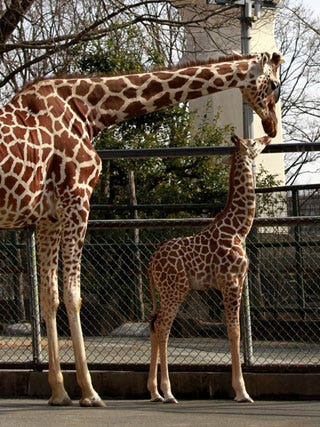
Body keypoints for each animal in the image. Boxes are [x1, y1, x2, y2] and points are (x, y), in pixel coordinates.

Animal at [147, 134, 270, 404]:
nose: (267, 137)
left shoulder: (237, 281)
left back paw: (154, 392)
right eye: (253, 143)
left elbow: (234, 331)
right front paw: (241, 392)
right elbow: (235, 332)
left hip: (165, 291)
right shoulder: (231, 281)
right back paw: (168, 392)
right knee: (163, 327)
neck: (238, 229)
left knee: (153, 325)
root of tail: (151, 263)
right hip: (175, 290)